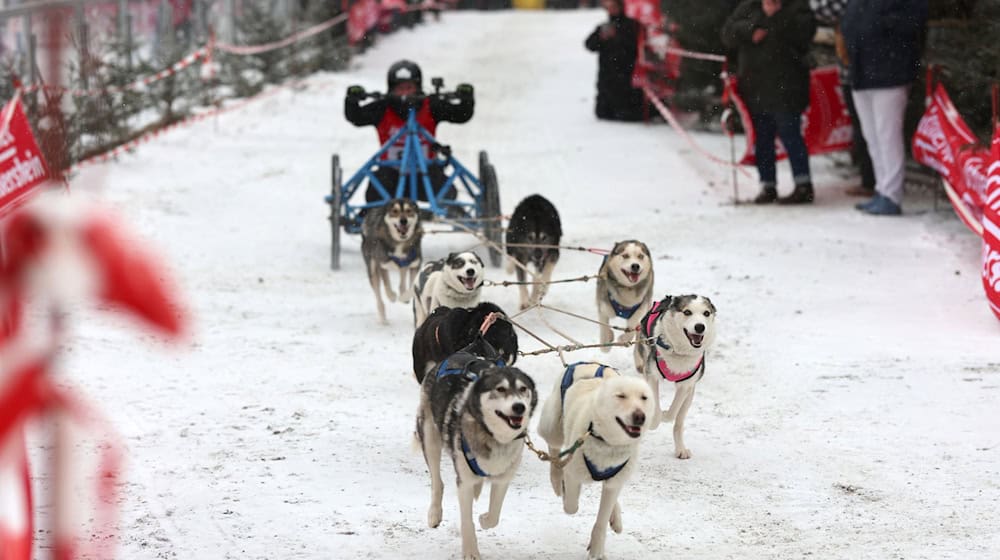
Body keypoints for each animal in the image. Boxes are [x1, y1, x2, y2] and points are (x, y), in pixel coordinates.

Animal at [416, 340, 540, 560]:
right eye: (500, 389)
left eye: (523, 389)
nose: (519, 407)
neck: (494, 437)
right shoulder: (464, 482)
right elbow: (467, 521)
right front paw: (471, 551)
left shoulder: (503, 479)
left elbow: (494, 516)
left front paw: (484, 519)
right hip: (430, 438)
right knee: (437, 482)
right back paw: (434, 513)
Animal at [540, 360, 656, 556]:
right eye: (621, 396)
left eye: (644, 398)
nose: (640, 416)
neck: (605, 440)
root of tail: (590, 363)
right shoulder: (573, 474)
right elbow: (571, 505)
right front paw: (563, 487)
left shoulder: (615, 479)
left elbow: (602, 519)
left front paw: (596, 550)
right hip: (553, 426)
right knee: (554, 449)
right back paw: (556, 477)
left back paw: (615, 517)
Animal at [636, 294, 716, 460]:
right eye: (687, 312)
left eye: (706, 313)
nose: (700, 327)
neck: (679, 352)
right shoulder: (652, 375)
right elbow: (655, 408)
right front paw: (655, 420)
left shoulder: (686, 385)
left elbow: (673, 412)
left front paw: (665, 414)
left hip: (690, 396)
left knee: (679, 421)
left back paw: (681, 448)